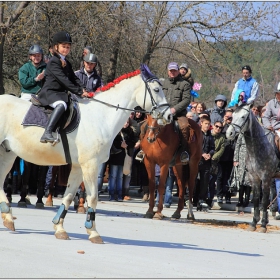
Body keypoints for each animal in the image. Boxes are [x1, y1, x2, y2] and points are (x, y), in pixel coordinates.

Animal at [0, 65, 172, 243]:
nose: (169, 115)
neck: (101, 116)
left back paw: (7, 216)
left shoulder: (77, 167)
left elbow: (68, 196)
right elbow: (93, 197)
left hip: (8, 153)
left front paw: (59, 228)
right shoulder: (90, 165)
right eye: (157, 89)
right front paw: (93, 231)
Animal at [226, 104, 278, 233]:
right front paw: (254, 223)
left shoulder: (266, 178)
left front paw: (263, 225)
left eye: (243, 116)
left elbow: (264, 201)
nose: (229, 133)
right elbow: (255, 199)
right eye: (232, 115)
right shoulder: (254, 178)